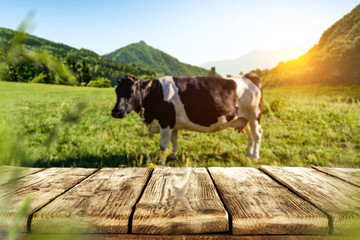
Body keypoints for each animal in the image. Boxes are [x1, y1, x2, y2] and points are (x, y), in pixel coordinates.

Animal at [111, 73, 262, 163]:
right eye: (117, 91)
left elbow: (163, 145)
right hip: (244, 119)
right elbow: (174, 140)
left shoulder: (165, 122)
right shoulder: (173, 123)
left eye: (131, 92)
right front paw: (173, 156)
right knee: (250, 136)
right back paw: (247, 155)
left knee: (257, 135)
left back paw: (255, 157)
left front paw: (161, 162)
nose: (116, 112)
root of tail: (248, 76)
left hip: (254, 116)